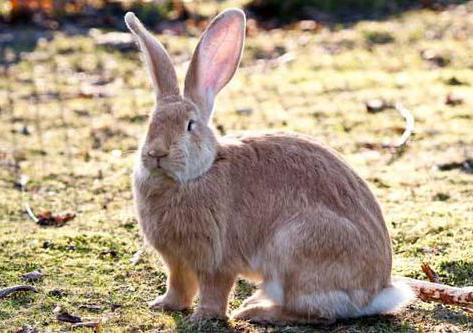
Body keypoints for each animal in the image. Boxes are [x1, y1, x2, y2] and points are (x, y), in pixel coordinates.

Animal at [124, 8, 412, 324]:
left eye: (190, 125)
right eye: (150, 122)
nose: (156, 153)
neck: (196, 174)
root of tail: (376, 292)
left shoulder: (218, 259)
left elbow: (214, 290)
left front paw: (202, 318)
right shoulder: (177, 261)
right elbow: (179, 285)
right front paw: (163, 305)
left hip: (295, 249)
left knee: (315, 313)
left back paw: (257, 310)